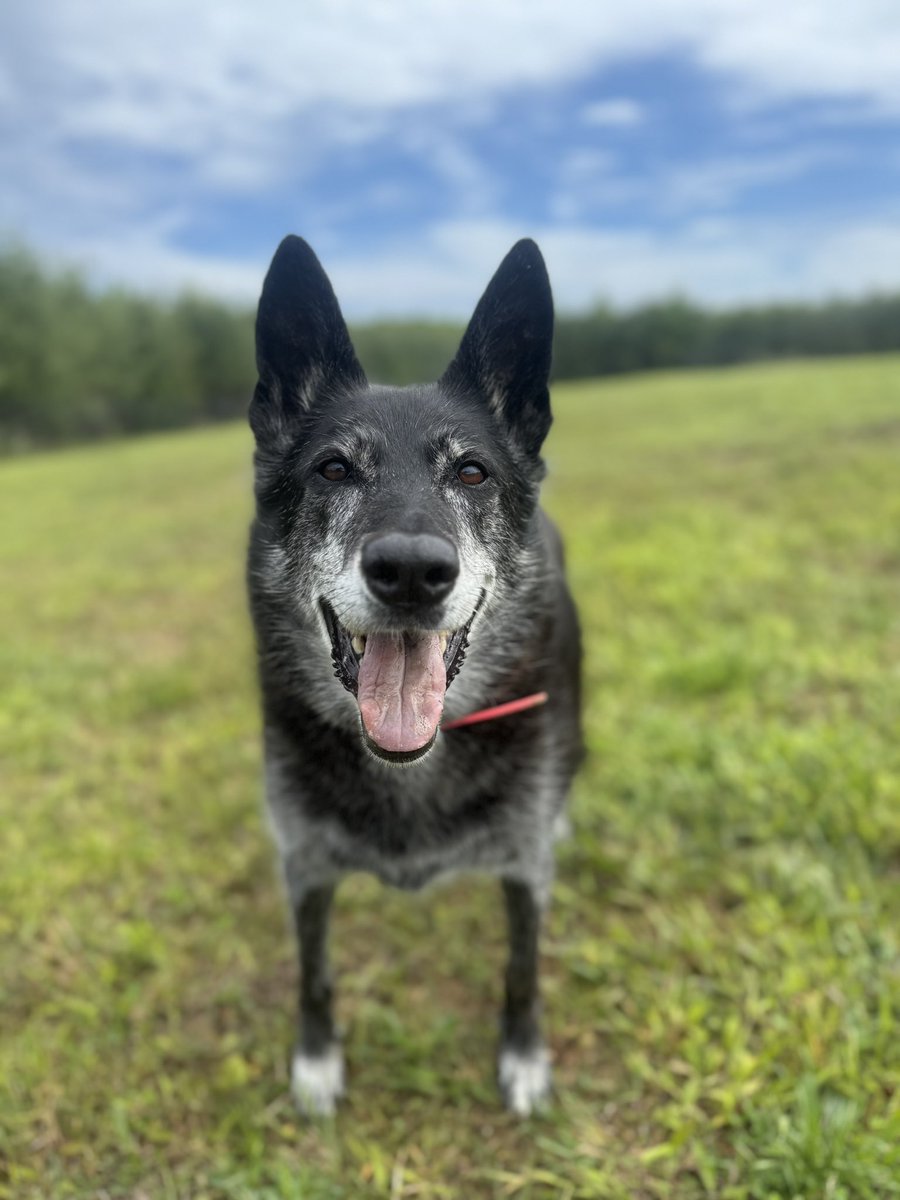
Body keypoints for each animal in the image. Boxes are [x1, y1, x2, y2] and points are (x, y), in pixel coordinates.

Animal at [247, 234, 585, 1113]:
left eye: (471, 473)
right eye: (333, 469)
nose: (409, 571)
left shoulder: (523, 869)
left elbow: (521, 970)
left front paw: (523, 1058)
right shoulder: (304, 865)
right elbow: (314, 973)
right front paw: (316, 1063)